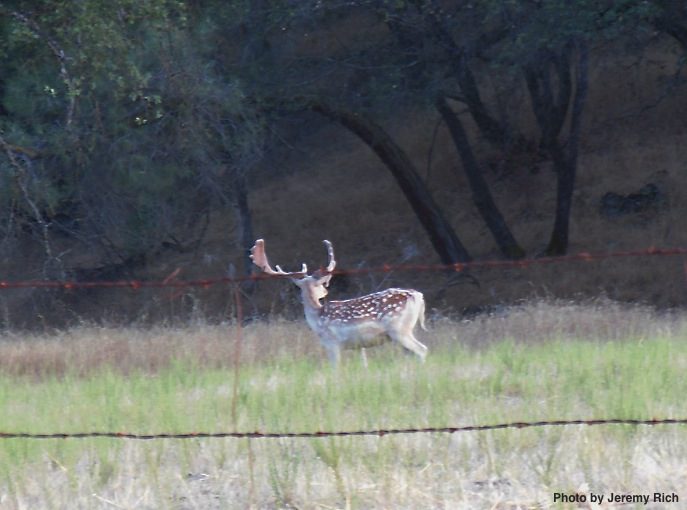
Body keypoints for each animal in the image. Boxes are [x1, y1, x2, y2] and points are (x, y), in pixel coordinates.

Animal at [250, 238, 428, 362]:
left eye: (321, 284)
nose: (325, 291)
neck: (317, 318)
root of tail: (418, 296)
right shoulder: (359, 346)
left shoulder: (332, 343)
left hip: (399, 329)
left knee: (422, 350)